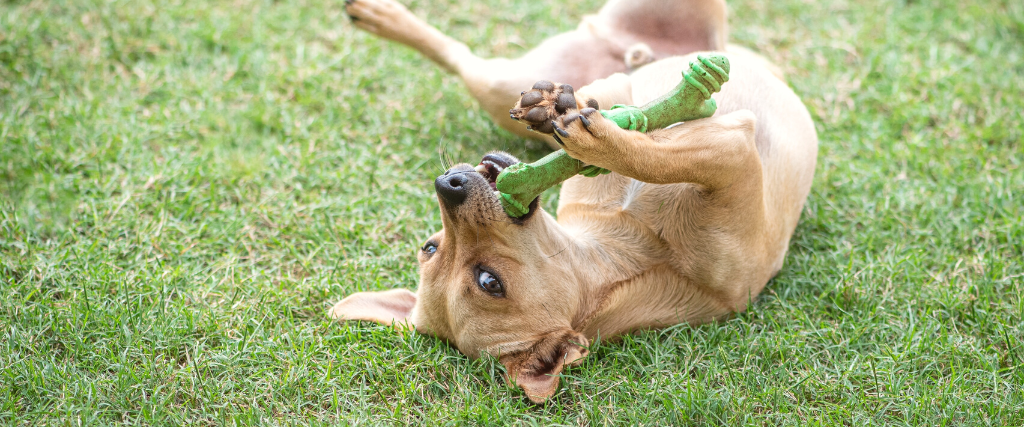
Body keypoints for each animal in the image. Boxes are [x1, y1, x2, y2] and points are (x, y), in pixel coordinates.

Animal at [329, 0, 815, 403]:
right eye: (489, 282)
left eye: (428, 247)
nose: (448, 184)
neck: (626, 247)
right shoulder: (732, 152)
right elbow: (654, 156)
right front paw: (606, 139)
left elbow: (625, 116)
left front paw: (583, 115)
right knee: (462, 56)